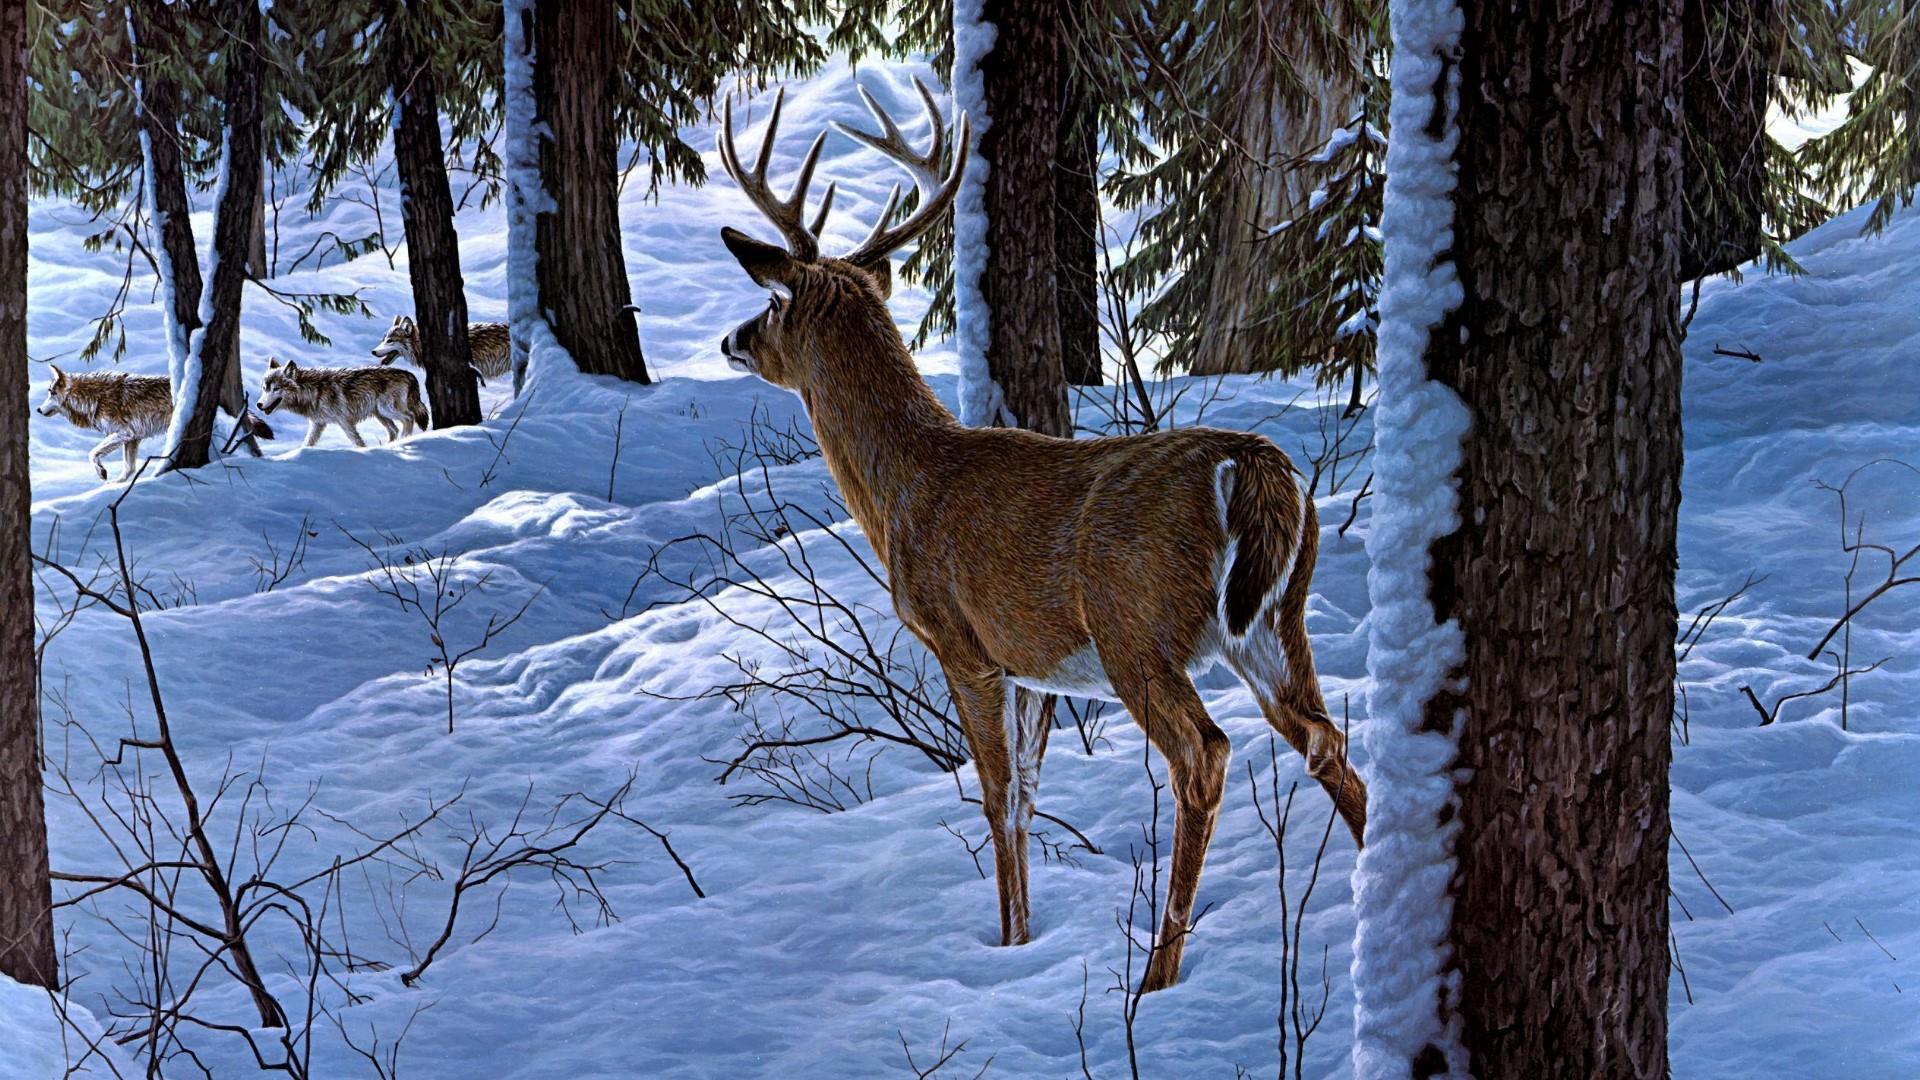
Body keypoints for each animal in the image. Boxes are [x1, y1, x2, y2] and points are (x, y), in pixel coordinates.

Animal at [713, 80, 1367, 992]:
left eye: (773, 303)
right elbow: (1025, 794)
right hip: (1276, 621)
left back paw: (1156, 979)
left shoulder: (962, 641)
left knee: (1203, 755)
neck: (906, 486)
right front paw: (1023, 944)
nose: (732, 337)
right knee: (1325, 742)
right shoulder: (1031, 665)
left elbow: (994, 795)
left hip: (1136, 626)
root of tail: (1254, 467)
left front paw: (1007, 942)